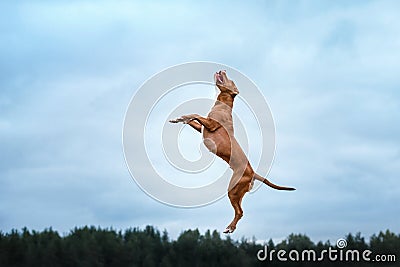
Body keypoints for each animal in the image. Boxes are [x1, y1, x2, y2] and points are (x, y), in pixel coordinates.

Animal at [169, 70, 294, 233]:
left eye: (231, 80)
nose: (223, 70)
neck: (222, 104)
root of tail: (253, 173)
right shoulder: (202, 127)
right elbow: (193, 120)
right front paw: (178, 119)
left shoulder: (212, 124)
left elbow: (195, 114)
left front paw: (183, 117)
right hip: (238, 192)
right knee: (240, 211)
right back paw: (231, 227)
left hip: (233, 190)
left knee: (240, 211)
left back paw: (230, 227)